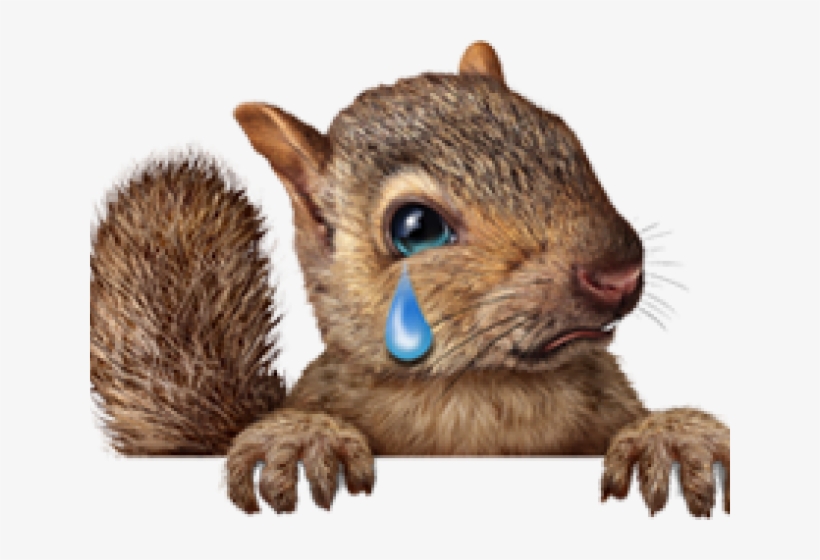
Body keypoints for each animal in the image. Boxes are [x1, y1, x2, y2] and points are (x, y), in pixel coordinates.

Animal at [91, 41, 730, 517]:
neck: (482, 395)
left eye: (567, 142)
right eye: (415, 227)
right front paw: (300, 438)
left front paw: (673, 437)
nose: (617, 272)